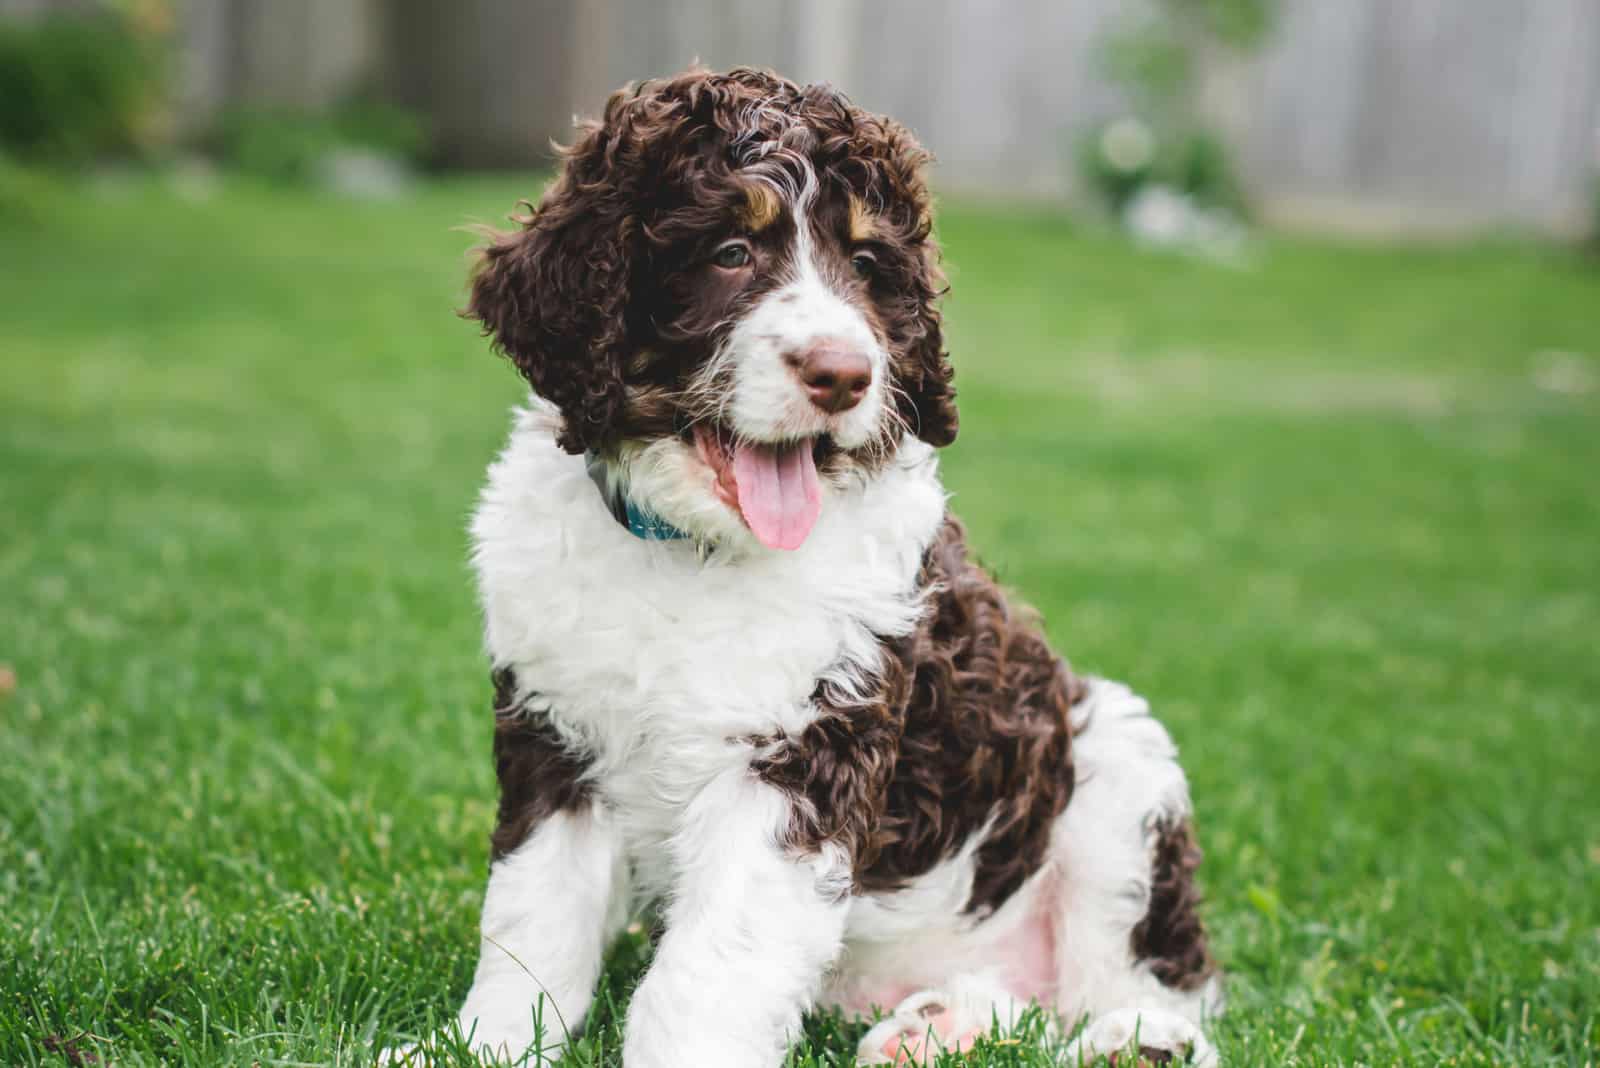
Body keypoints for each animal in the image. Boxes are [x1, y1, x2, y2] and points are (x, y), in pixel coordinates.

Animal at [393, 68, 1216, 1068]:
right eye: (730, 251)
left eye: (865, 265)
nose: (844, 374)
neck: (691, 549)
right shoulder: (555, 737)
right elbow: (532, 923)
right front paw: (481, 1047)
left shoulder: (808, 755)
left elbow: (708, 972)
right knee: (1016, 1005)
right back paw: (934, 1029)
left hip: (1120, 771)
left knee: (1137, 981)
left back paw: (1134, 1039)